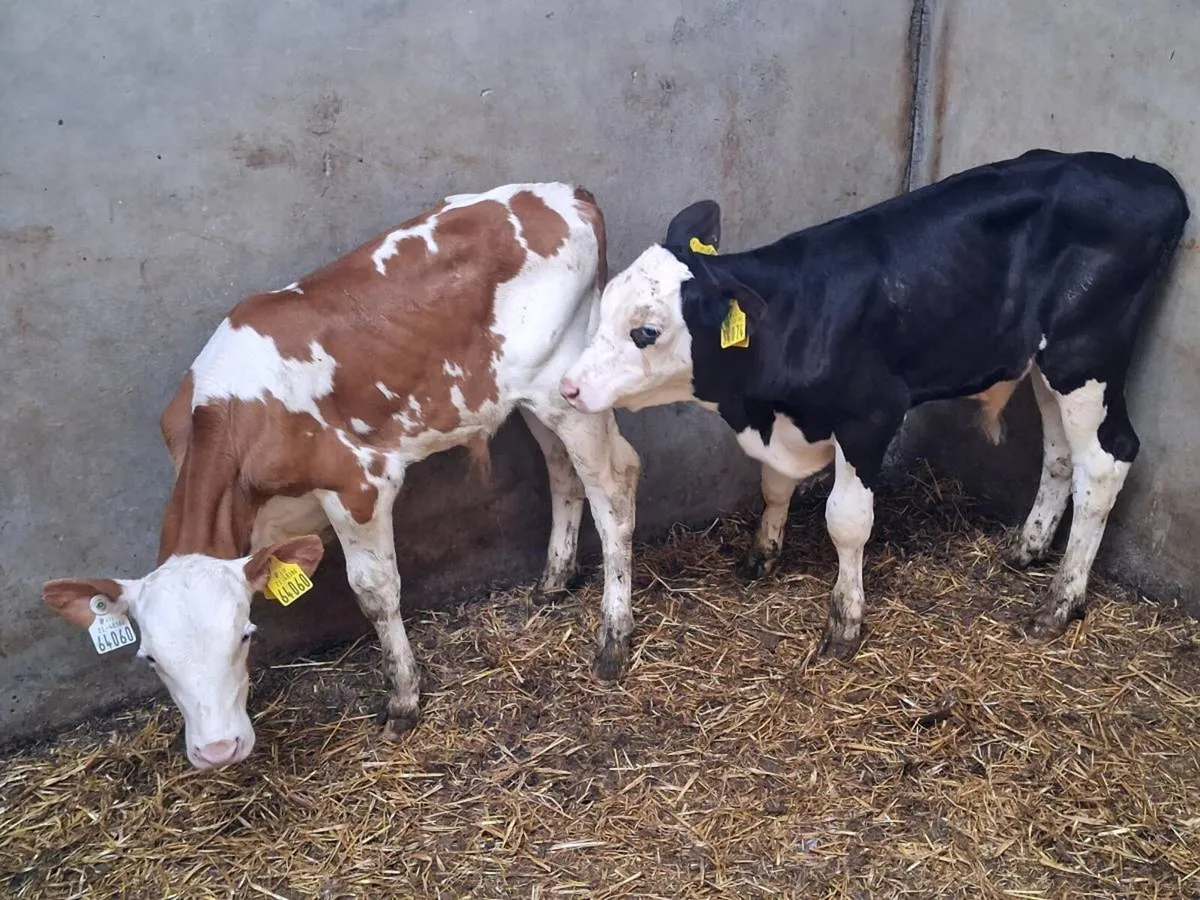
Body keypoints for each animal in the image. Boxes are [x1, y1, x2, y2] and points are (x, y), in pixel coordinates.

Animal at [42, 183, 641, 769]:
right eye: (150, 659)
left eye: (245, 636)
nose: (217, 750)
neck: (233, 413)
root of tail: (568, 194)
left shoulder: (360, 484)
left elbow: (374, 591)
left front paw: (403, 699)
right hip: (530, 395)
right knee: (563, 472)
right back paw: (554, 579)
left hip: (569, 388)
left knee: (615, 486)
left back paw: (612, 638)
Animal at [560, 150, 1188, 660]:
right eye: (604, 305)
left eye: (646, 332)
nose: (568, 386)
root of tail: (1152, 179)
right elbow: (773, 485)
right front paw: (763, 555)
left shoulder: (870, 417)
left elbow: (847, 519)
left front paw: (845, 622)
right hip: (1047, 364)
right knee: (1062, 456)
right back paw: (1027, 549)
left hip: (1085, 352)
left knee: (1106, 461)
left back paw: (1059, 602)